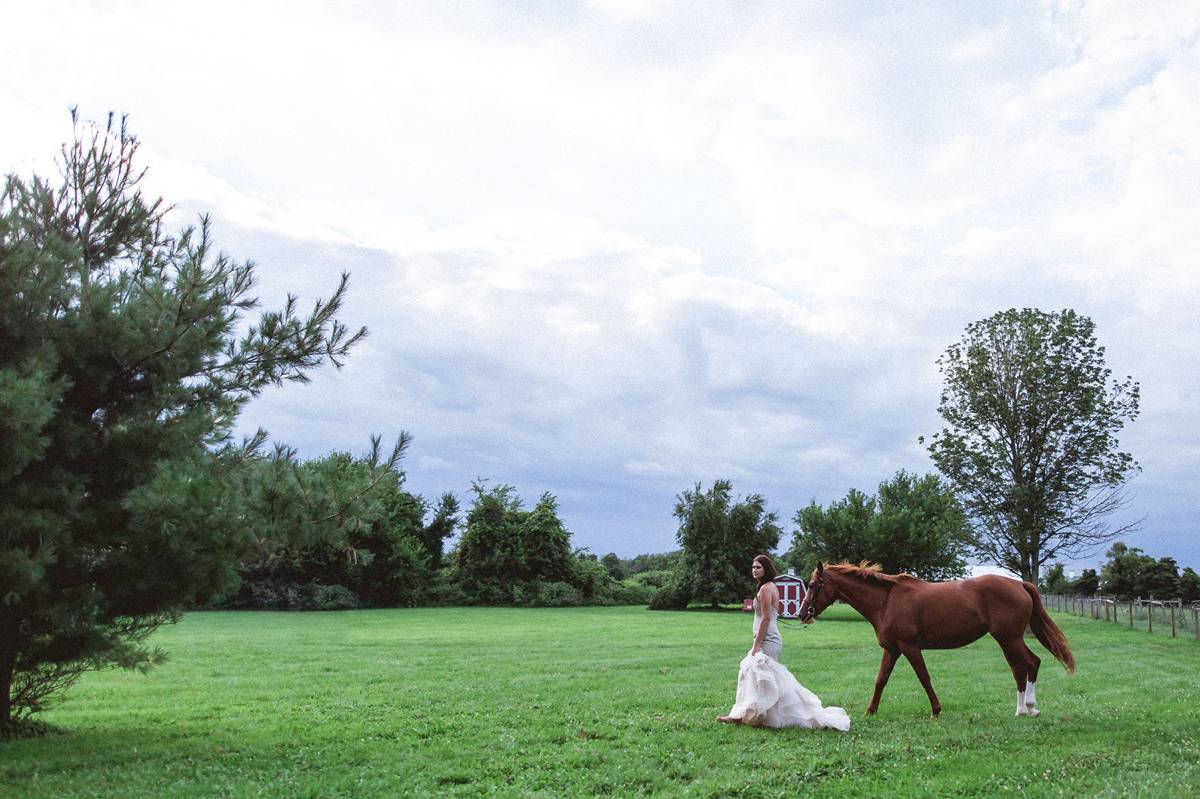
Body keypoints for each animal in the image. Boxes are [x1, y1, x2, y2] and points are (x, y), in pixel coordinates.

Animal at [796, 559, 1080, 715]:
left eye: (812, 585)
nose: (801, 614)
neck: (887, 601)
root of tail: (1019, 583)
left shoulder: (910, 647)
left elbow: (924, 678)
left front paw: (936, 710)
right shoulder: (892, 649)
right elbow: (880, 680)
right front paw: (870, 711)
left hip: (1009, 639)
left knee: (1029, 664)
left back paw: (1028, 708)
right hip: (1008, 640)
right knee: (1022, 667)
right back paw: (1024, 708)